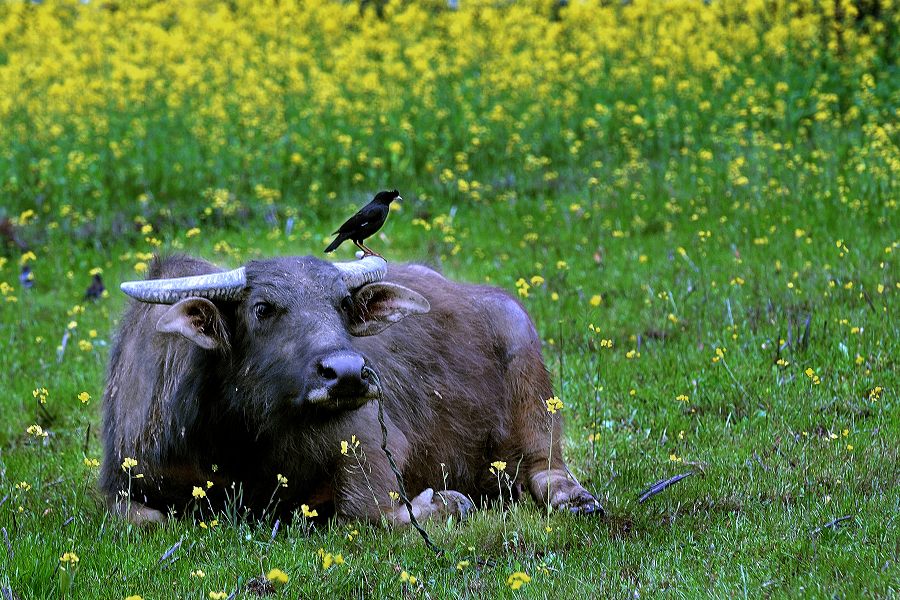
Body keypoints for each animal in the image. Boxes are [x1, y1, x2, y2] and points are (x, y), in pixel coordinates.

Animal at [102, 253, 600, 524]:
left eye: (342, 303)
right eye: (262, 308)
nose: (347, 373)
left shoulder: (371, 443)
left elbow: (372, 512)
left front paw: (448, 502)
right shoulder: (122, 482)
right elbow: (143, 521)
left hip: (530, 378)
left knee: (545, 466)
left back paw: (575, 500)